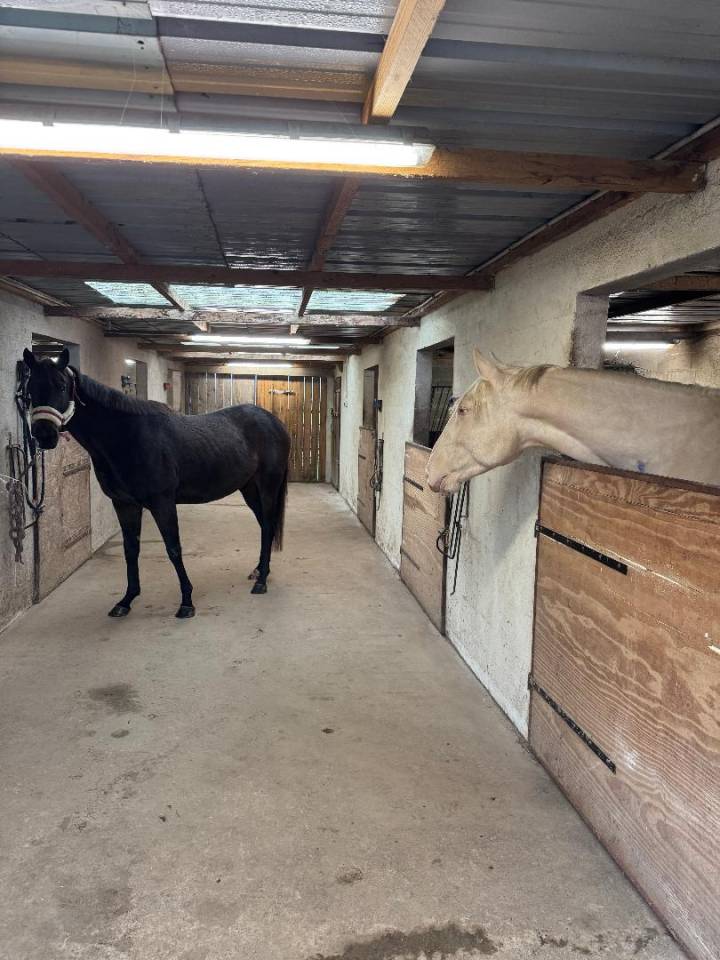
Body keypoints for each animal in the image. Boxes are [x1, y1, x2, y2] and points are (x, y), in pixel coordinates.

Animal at [23, 347, 290, 618]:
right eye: (30, 388)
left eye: (61, 385)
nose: (44, 435)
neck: (127, 437)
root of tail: (274, 422)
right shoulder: (124, 504)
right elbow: (131, 549)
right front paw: (126, 600)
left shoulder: (163, 503)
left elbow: (173, 548)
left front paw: (186, 602)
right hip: (249, 488)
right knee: (264, 526)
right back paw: (260, 571)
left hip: (268, 486)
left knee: (267, 525)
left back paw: (261, 582)